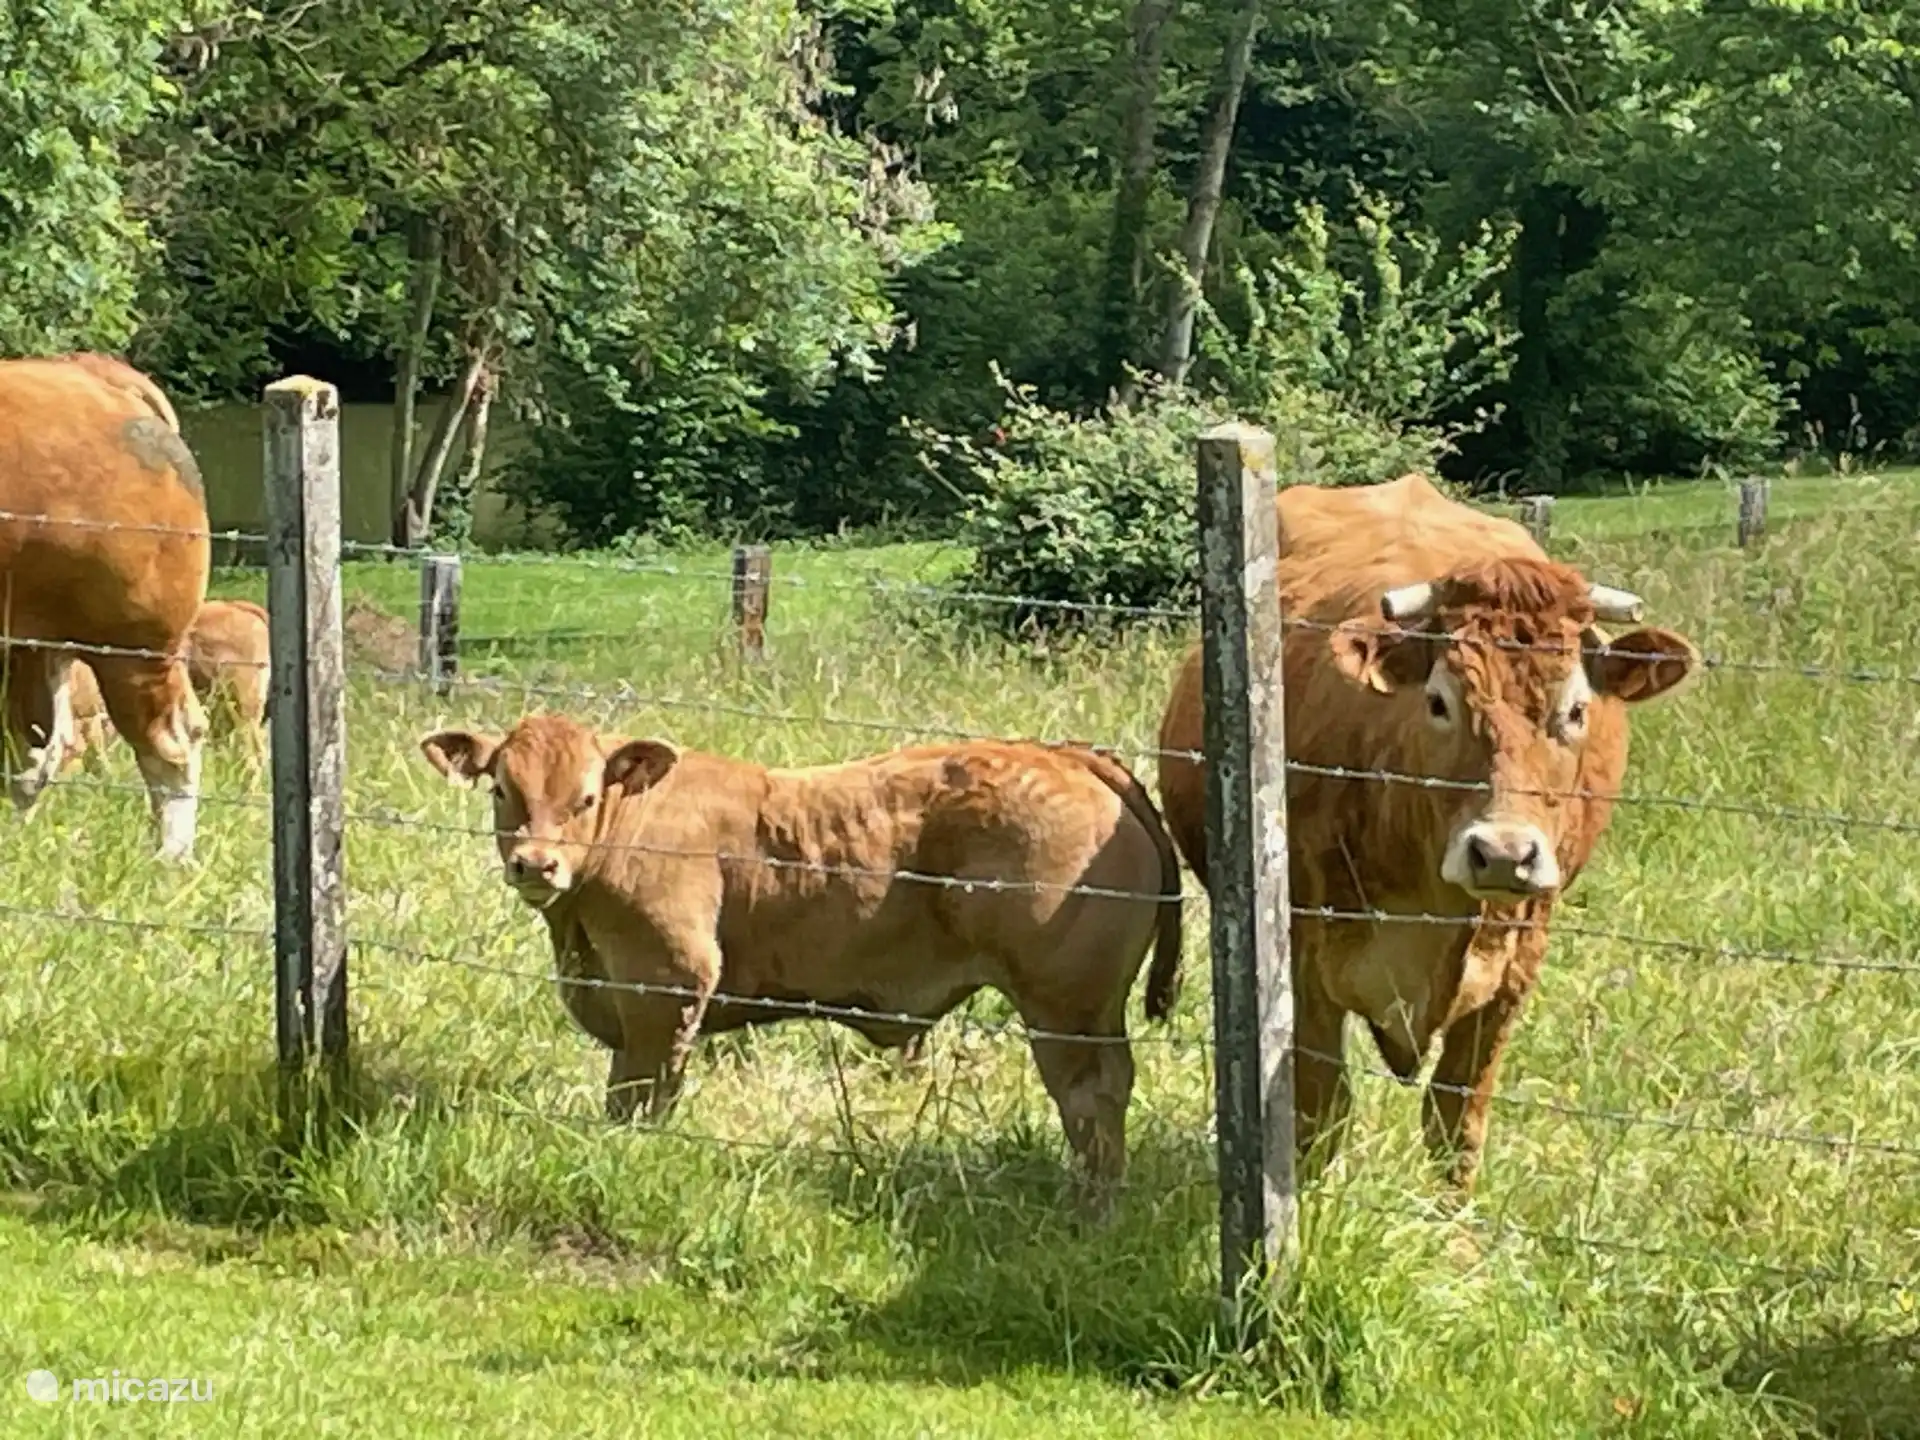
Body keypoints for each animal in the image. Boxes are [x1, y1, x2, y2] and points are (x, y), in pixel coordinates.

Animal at [0, 354, 209, 859]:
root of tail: (94, 372)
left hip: (135, 643)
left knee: (170, 741)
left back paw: (170, 859)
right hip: (42, 641)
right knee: (37, 752)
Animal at [418, 713, 1186, 1211]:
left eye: (584, 797)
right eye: (502, 790)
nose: (535, 864)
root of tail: (1069, 757)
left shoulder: (667, 987)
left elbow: (640, 1097)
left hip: (1064, 1003)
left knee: (1090, 1096)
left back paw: (1090, 1206)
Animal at [1157, 473, 1698, 1190]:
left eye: (1577, 710)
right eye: (1439, 702)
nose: (1502, 854)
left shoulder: (1519, 958)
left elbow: (1456, 1120)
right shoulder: (1302, 956)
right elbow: (1319, 1112)